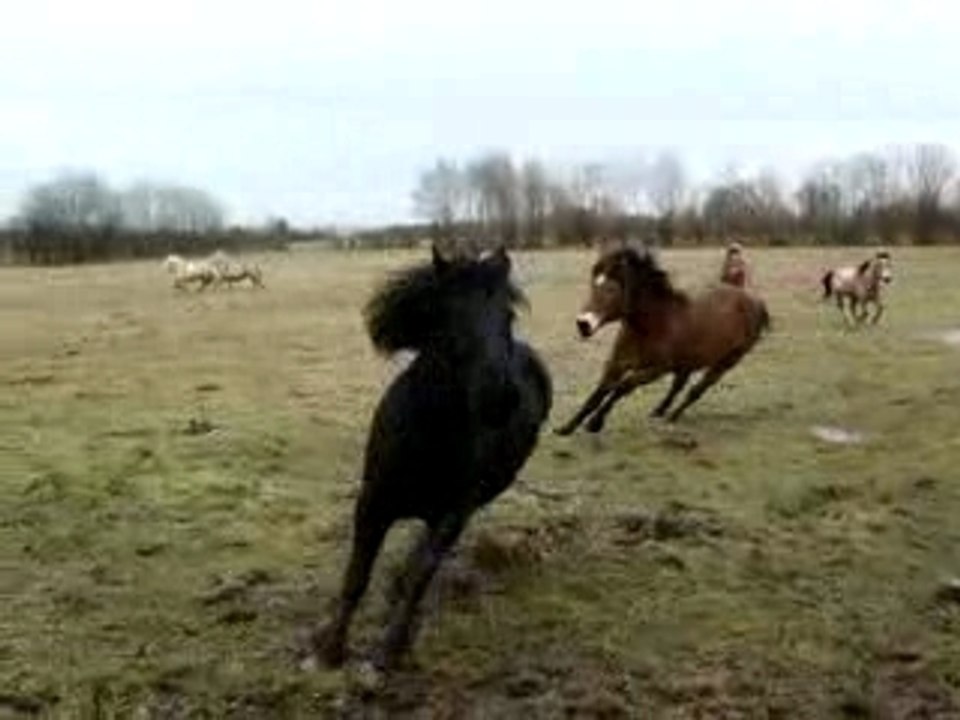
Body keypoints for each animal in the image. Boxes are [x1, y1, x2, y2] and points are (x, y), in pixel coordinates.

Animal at [312, 244, 552, 687]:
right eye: (446, 313)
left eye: (507, 316)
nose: (500, 397)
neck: (428, 434)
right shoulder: (373, 503)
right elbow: (356, 575)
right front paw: (329, 650)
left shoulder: (454, 511)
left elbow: (421, 575)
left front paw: (387, 653)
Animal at [554, 245, 770, 434]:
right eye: (592, 284)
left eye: (612, 289)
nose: (583, 324)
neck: (652, 326)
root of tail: (754, 301)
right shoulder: (616, 363)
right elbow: (598, 392)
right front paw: (566, 428)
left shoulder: (656, 370)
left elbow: (623, 386)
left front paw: (595, 423)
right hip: (689, 361)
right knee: (678, 385)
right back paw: (659, 411)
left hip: (726, 362)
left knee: (696, 391)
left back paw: (673, 416)